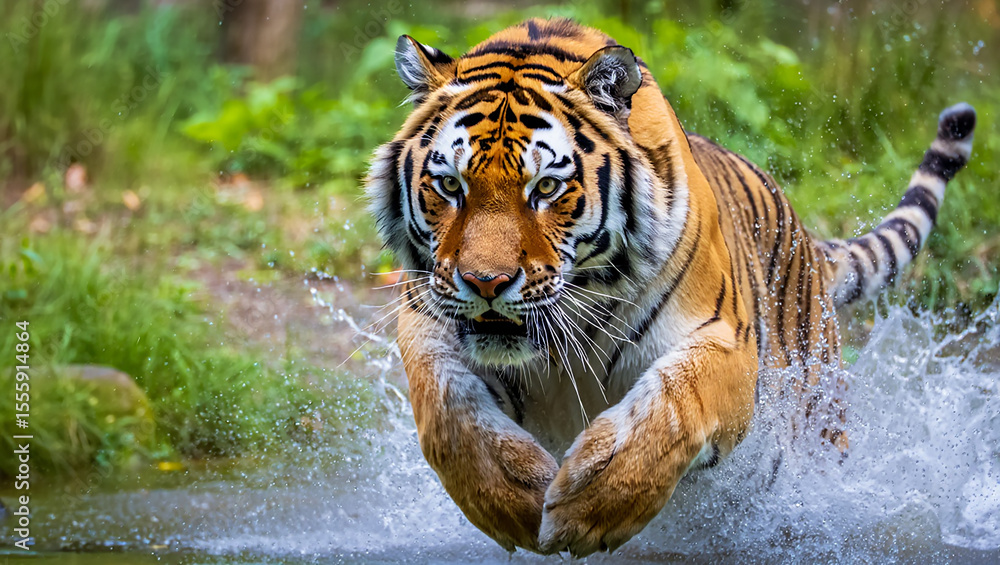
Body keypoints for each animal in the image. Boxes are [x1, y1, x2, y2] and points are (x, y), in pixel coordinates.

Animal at [365, 17, 977, 557]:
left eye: (546, 188)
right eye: (450, 185)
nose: (485, 283)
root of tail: (808, 243)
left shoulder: (725, 341)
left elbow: (673, 406)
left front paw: (591, 507)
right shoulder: (425, 316)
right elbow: (447, 407)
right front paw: (512, 501)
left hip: (816, 420)